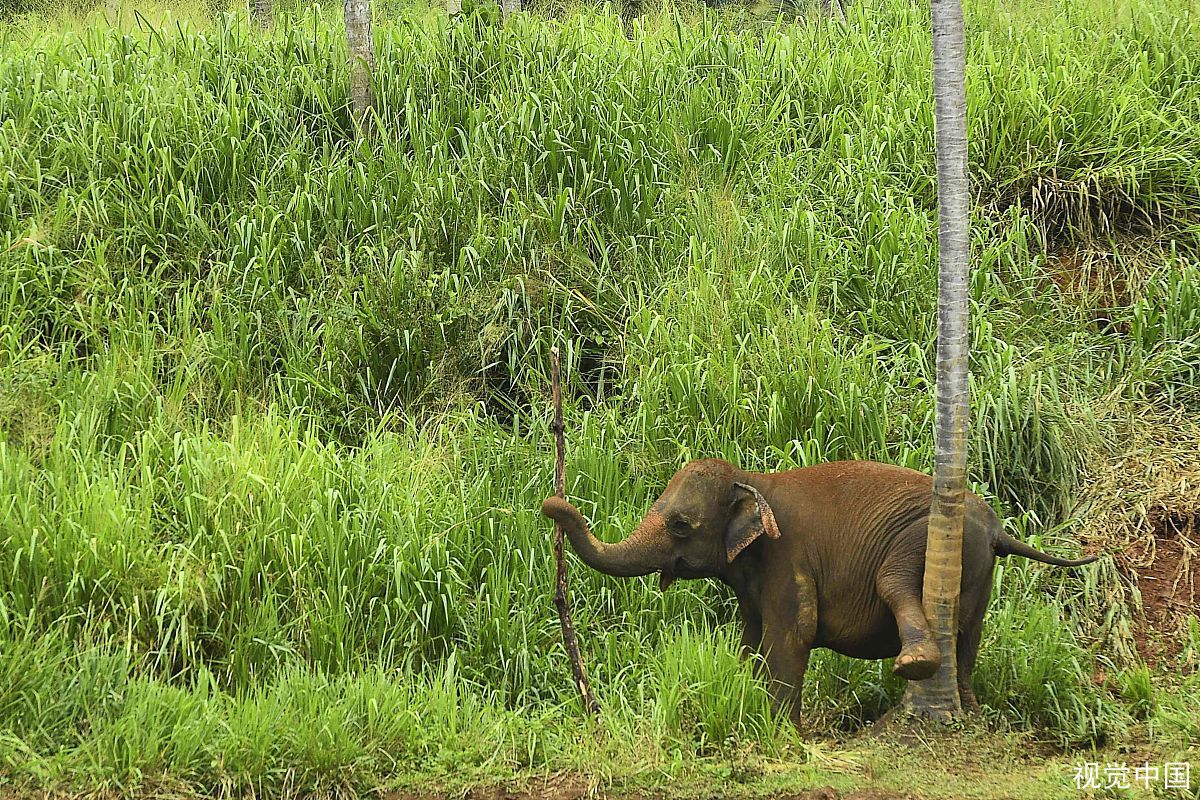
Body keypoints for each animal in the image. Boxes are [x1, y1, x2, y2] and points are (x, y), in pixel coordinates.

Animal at [542, 460, 1099, 724]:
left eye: (680, 526)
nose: (551, 503)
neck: (751, 479)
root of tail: (998, 529)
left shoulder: (788, 560)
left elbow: (792, 634)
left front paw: (782, 734)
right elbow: (752, 636)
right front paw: (745, 698)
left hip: (925, 540)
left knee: (895, 583)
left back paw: (914, 664)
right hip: (977, 569)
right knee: (969, 638)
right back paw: (970, 710)